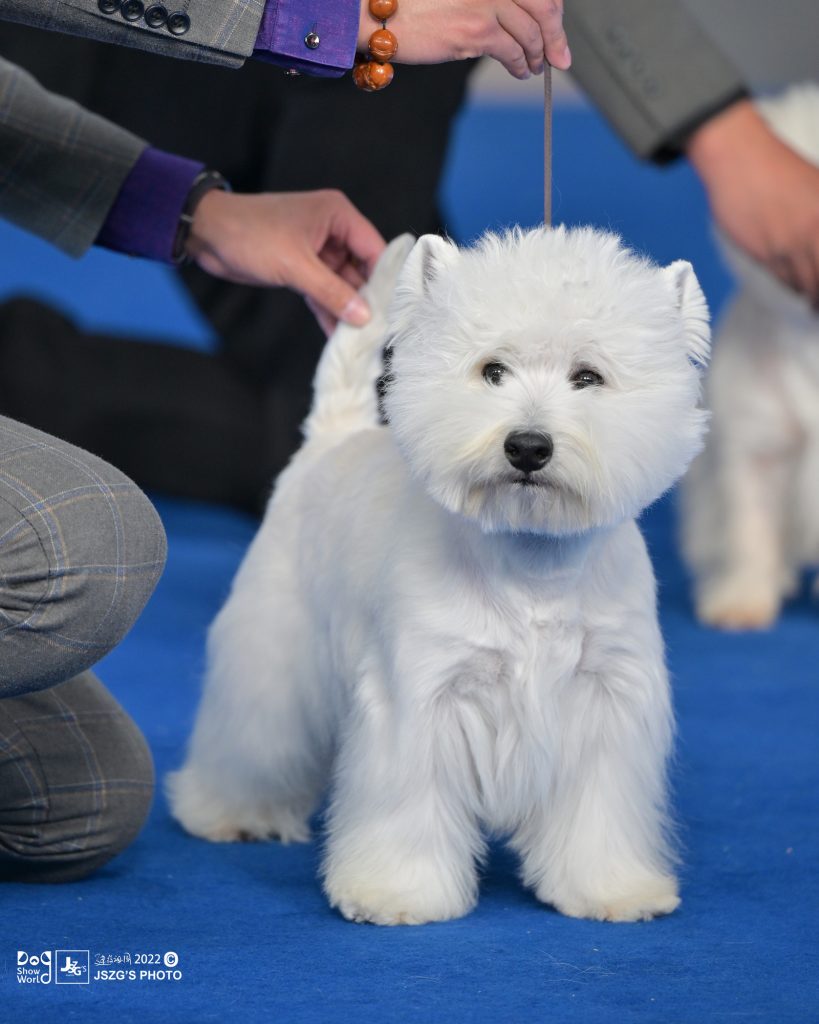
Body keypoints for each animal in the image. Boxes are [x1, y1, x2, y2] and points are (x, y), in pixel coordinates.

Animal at [168, 226, 710, 925]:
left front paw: (610, 888)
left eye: (588, 377)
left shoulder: (607, 693)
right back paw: (228, 812)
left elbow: (599, 808)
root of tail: (332, 438)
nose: (527, 447)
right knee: (252, 737)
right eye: (492, 371)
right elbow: (409, 803)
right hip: (274, 652)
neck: (533, 563)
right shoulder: (424, 695)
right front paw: (398, 892)